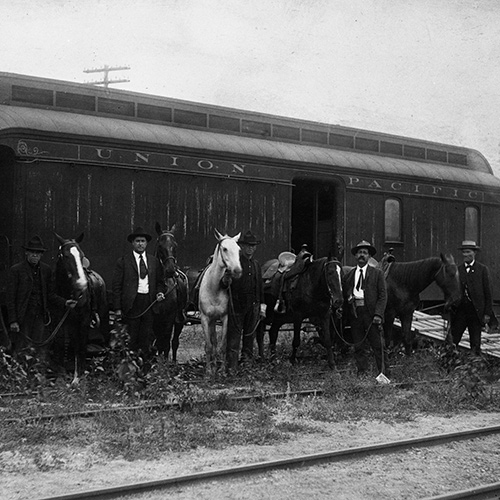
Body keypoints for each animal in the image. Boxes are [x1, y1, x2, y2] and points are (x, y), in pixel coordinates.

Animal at [52, 233, 108, 382]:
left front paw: (79, 377)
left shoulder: (83, 320)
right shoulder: (64, 321)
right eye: (66, 256)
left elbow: (80, 346)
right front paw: (68, 376)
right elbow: (67, 344)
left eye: (82, 255)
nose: (82, 285)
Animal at [151, 223, 188, 364]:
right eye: (160, 246)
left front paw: (165, 361)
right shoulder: (155, 318)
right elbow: (157, 340)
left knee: (174, 341)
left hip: (179, 321)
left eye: (175, 245)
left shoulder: (169, 317)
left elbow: (166, 341)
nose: (171, 270)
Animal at [198, 231, 241, 376]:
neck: (214, 288)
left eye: (239, 249)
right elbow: (208, 346)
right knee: (212, 343)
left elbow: (222, 345)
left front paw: (222, 370)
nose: (237, 270)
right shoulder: (205, 319)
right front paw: (209, 371)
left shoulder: (225, 318)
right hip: (210, 321)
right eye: (225, 249)